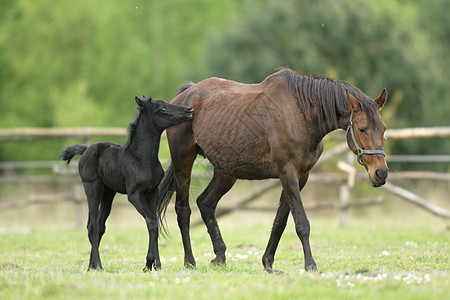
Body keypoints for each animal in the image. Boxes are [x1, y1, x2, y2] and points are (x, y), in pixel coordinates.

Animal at [60, 95, 193, 272]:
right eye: (162, 109)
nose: (189, 110)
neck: (142, 159)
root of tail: (86, 149)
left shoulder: (153, 193)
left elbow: (154, 222)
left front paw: (156, 265)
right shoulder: (134, 195)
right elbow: (151, 222)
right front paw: (149, 263)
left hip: (108, 193)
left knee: (100, 226)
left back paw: (91, 266)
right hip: (92, 188)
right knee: (92, 226)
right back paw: (99, 266)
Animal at [157, 69, 386, 274]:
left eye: (383, 129)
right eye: (362, 128)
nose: (381, 173)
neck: (302, 115)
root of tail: (186, 94)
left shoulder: (300, 177)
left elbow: (280, 222)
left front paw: (268, 263)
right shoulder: (287, 173)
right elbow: (301, 222)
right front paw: (310, 265)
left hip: (226, 172)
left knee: (206, 203)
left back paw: (220, 256)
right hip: (183, 163)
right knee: (183, 210)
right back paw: (190, 261)